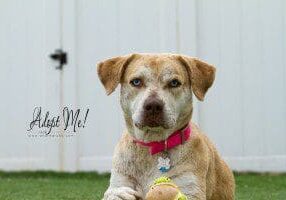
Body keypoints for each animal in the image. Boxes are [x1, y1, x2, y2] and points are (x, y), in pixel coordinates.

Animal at [97, 53, 236, 200]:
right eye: (136, 81)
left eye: (174, 83)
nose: (153, 105)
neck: (152, 146)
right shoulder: (121, 179)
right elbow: (116, 192)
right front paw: (118, 194)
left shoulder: (190, 187)